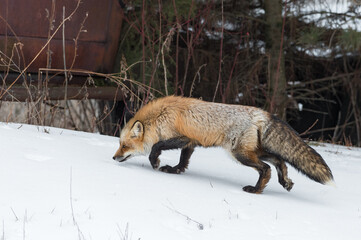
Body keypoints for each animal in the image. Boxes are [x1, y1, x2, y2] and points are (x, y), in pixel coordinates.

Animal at [112, 95, 332, 193]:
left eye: (124, 146)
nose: (114, 157)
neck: (159, 116)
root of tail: (261, 113)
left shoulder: (182, 137)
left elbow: (156, 148)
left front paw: (155, 163)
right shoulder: (191, 143)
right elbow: (183, 161)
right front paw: (175, 170)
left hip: (240, 154)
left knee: (266, 168)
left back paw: (256, 190)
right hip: (254, 151)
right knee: (280, 161)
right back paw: (285, 181)